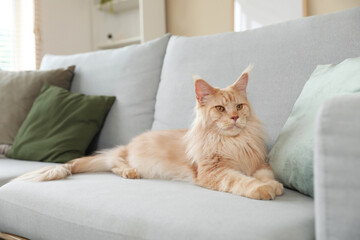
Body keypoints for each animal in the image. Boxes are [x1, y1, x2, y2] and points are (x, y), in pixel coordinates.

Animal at [14, 66, 284, 200]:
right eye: (220, 108)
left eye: (239, 106)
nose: (235, 118)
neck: (234, 143)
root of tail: (127, 145)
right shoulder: (214, 172)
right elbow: (241, 181)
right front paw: (264, 189)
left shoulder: (258, 161)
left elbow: (265, 174)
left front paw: (274, 185)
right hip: (129, 158)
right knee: (115, 164)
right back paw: (130, 172)